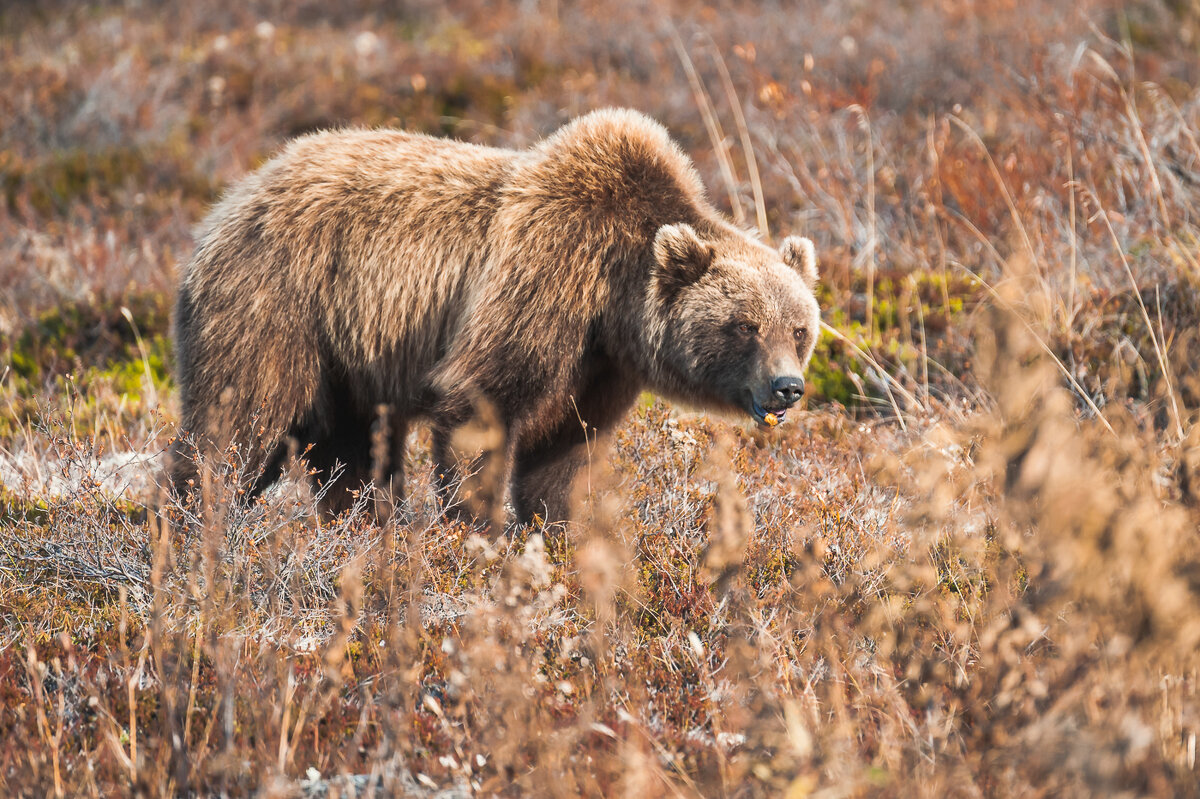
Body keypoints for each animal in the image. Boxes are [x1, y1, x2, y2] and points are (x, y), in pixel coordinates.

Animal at [169, 109, 820, 525]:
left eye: (799, 329)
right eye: (745, 326)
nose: (787, 386)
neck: (614, 300)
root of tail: (232, 201)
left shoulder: (596, 369)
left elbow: (564, 456)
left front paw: (560, 534)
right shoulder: (544, 278)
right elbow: (480, 405)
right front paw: (477, 534)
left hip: (350, 357)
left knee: (353, 455)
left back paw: (361, 527)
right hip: (277, 306)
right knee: (235, 426)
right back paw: (193, 526)